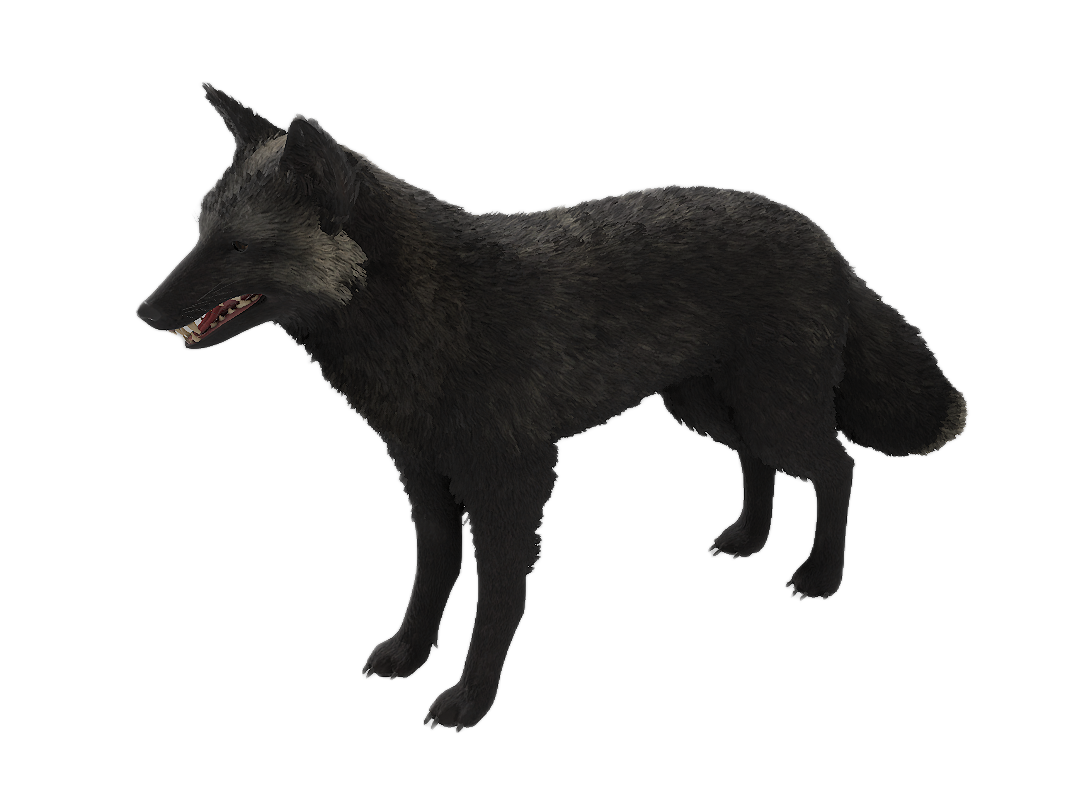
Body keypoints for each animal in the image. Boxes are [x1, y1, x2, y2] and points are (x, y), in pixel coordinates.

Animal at [136, 82, 969, 732]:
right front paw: (408, 653)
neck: (428, 316)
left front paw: (471, 699)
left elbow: (499, 598)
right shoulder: (421, 475)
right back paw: (747, 538)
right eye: (198, 229)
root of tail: (824, 238)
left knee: (838, 467)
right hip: (704, 406)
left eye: (238, 247)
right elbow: (432, 573)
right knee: (759, 462)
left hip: (774, 408)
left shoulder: (516, 480)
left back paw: (821, 574)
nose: (144, 312)